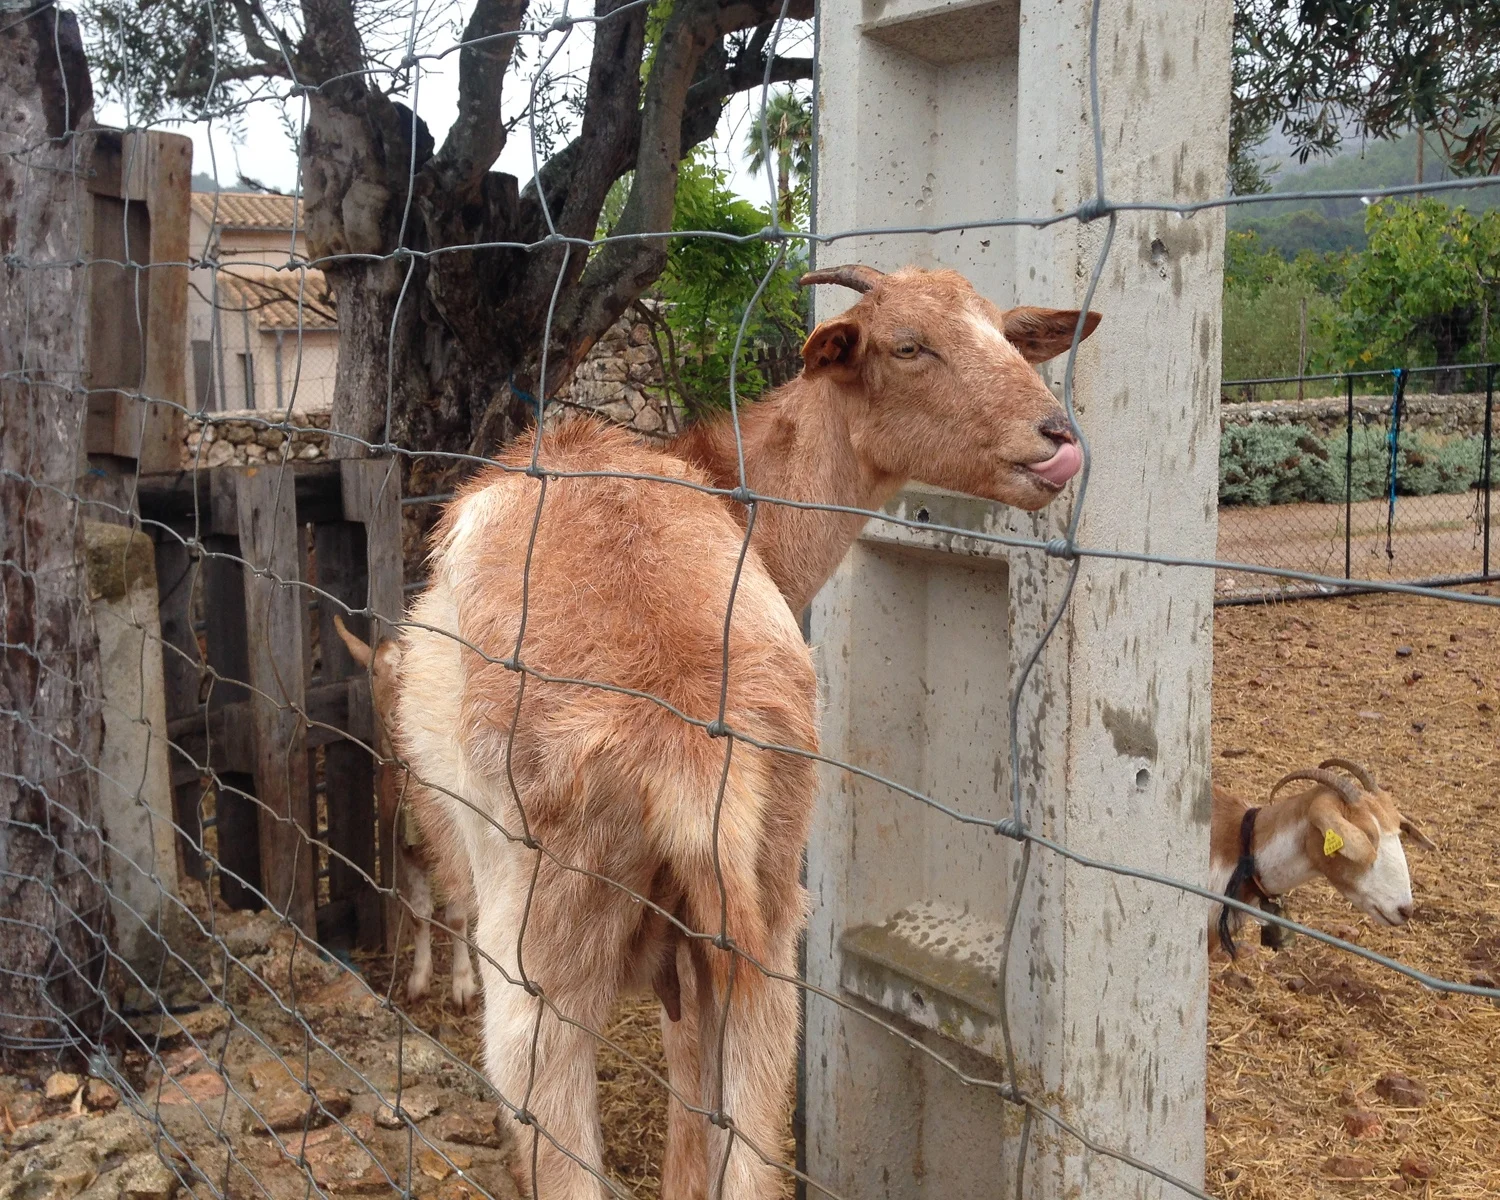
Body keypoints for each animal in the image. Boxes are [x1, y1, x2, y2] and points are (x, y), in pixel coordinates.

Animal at [396, 267, 1104, 1194]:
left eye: (1007, 335)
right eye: (907, 345)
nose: (1057, 438)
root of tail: (689, 743)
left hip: (542, 940)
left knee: (551, 1114)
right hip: (764, 919)